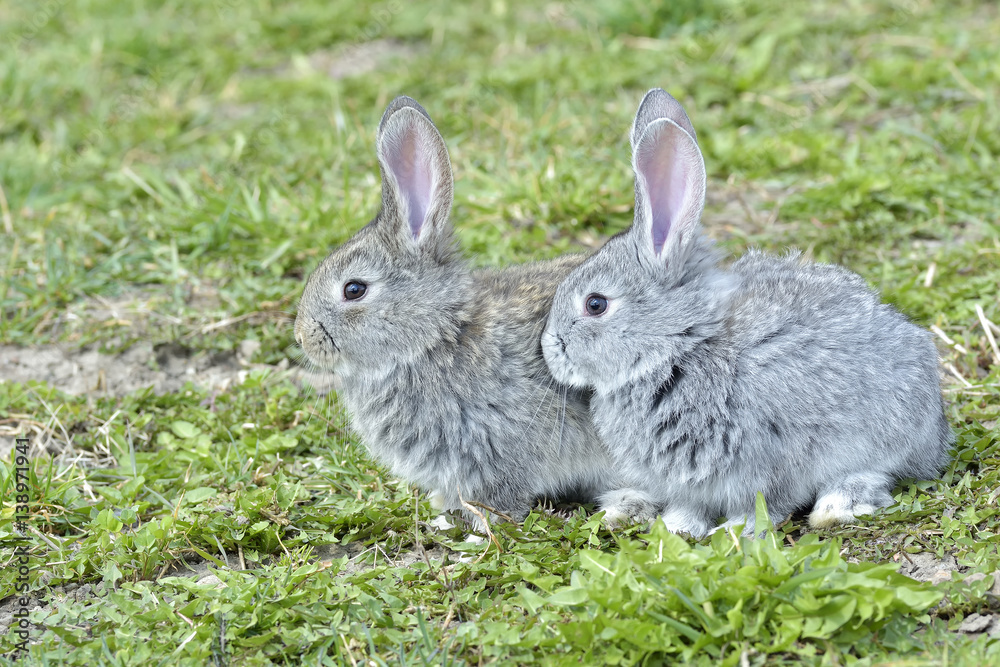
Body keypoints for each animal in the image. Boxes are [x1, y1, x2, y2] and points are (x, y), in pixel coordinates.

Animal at [294, 95, 658, 529]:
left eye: (354, 289)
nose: (302, 337)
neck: (436, 335)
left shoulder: (498, 445)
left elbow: (502, 496)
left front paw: (480, 527)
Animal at [541, 89, 953, 537]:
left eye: (595, 304)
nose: (549, 350)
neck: (680, 348)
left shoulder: (772, 457)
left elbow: (767, 502)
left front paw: (735, 532)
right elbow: (690, 504)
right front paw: (677, 527)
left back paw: (833, 509)